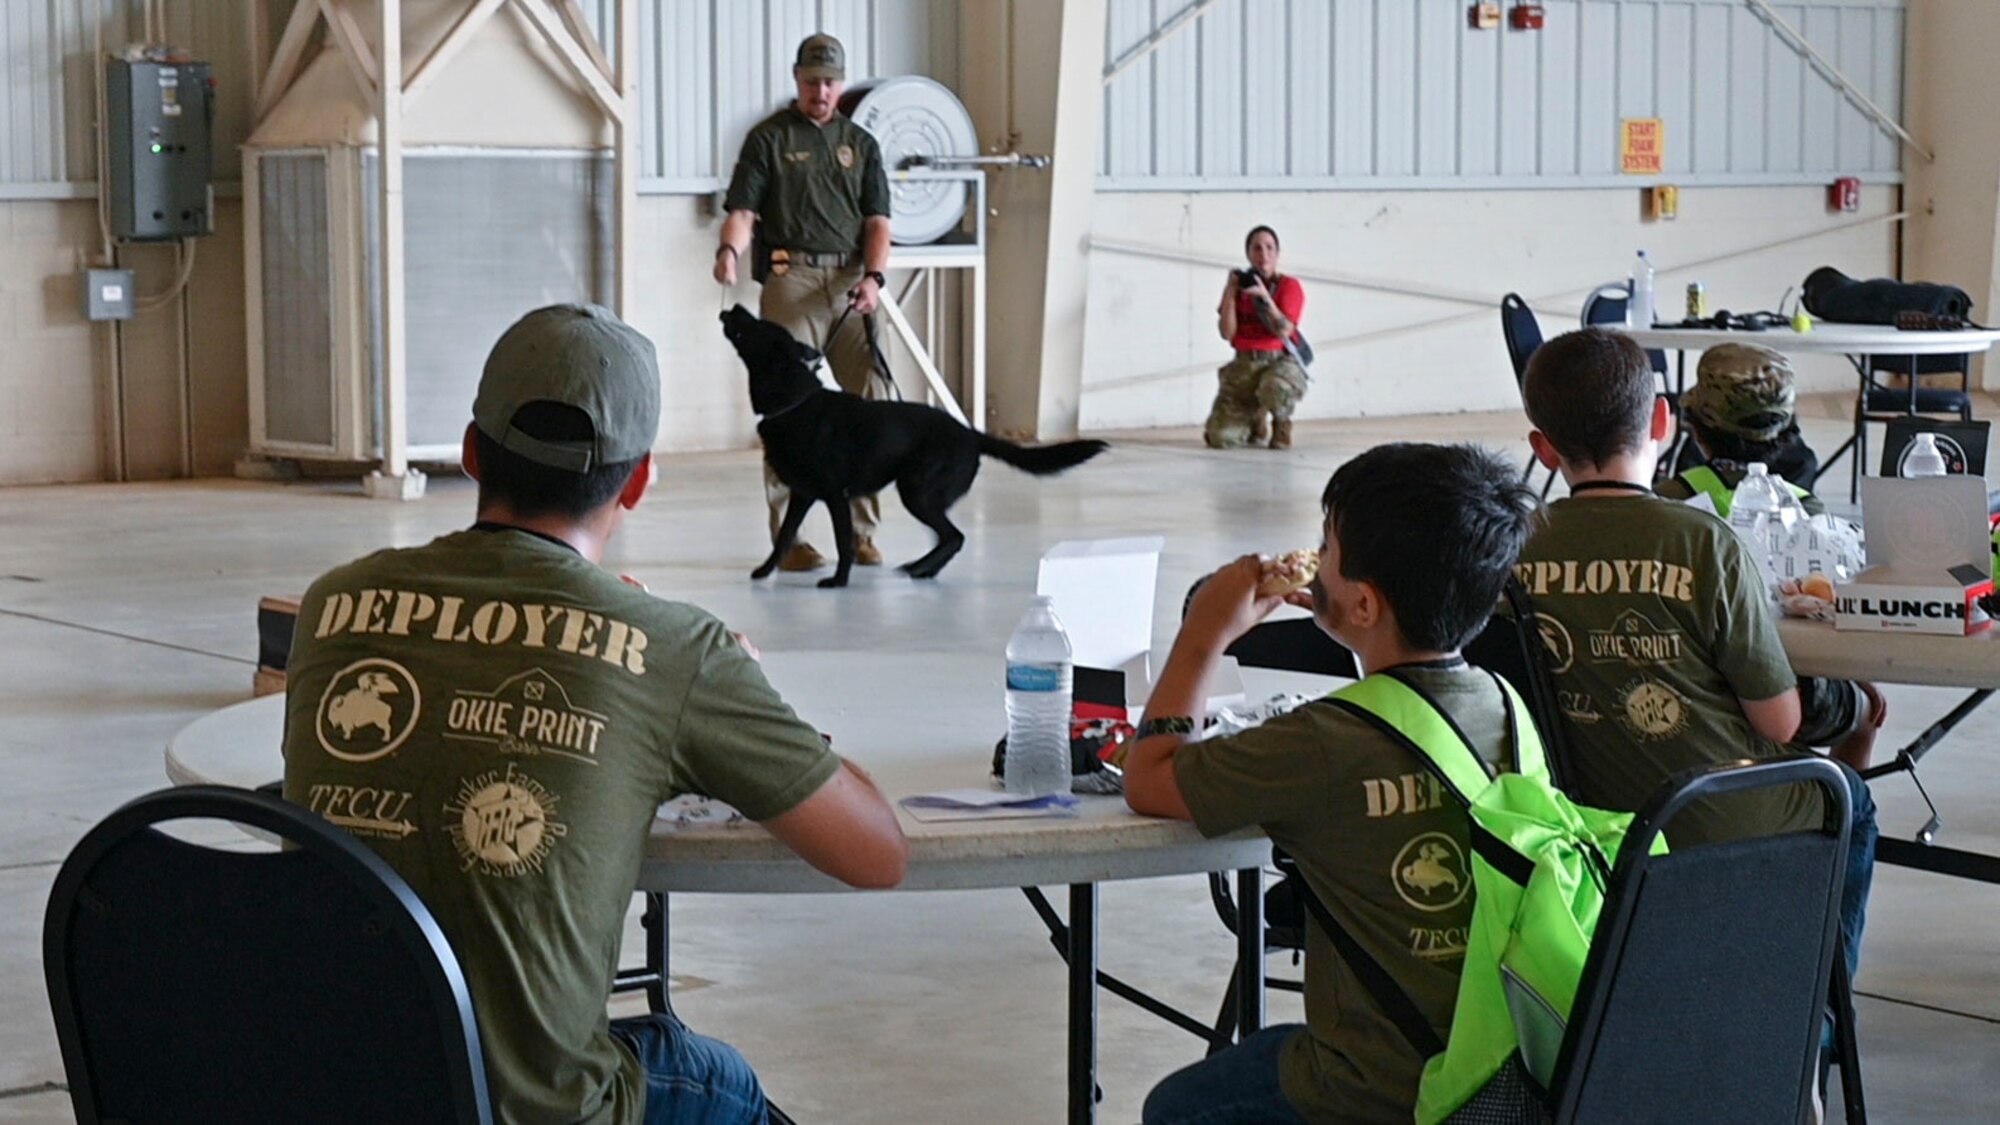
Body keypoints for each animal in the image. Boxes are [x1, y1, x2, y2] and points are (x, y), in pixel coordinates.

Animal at [720, 306, 1112, 588]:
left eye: (757, 325)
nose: (736, 307)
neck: (794, 400)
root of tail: (971, 434)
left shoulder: (834, 496)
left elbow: (844, 542)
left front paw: (839, 581)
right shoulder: (802, 495)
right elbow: (784, 536)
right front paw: (765, 571)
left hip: (916, 493)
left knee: (954, 537)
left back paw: (922, 570)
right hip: (922, 496)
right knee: (948, 538)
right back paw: (923, 568)